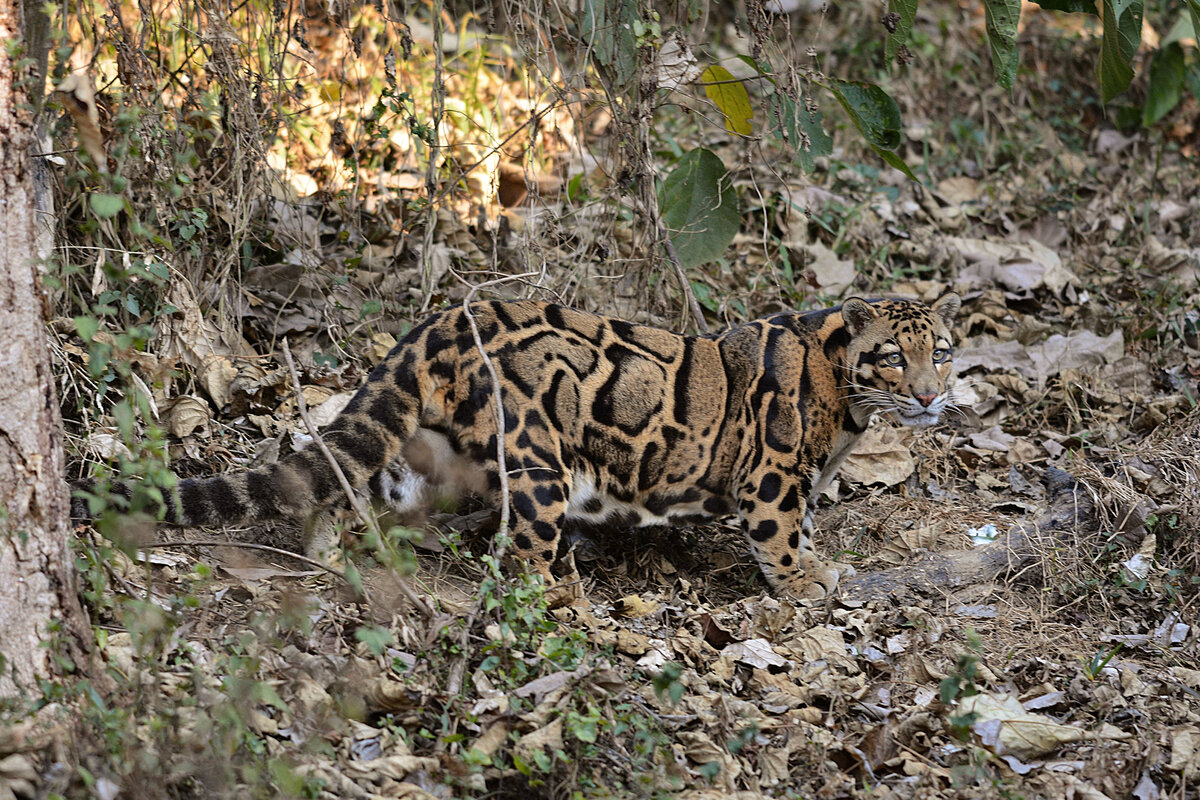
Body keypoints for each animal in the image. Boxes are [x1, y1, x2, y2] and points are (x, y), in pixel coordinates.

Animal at [75, 293, 960, 599]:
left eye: (942, 351)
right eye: (894, 355)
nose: (928, 394)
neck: (849, 398)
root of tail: (438, 323)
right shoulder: (773, 475)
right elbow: (781, 537)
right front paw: (806, 584)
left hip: (426, 455)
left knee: (350, 480)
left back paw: (331, 552)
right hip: (539, 460)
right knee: (519, 558)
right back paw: (555, 604)